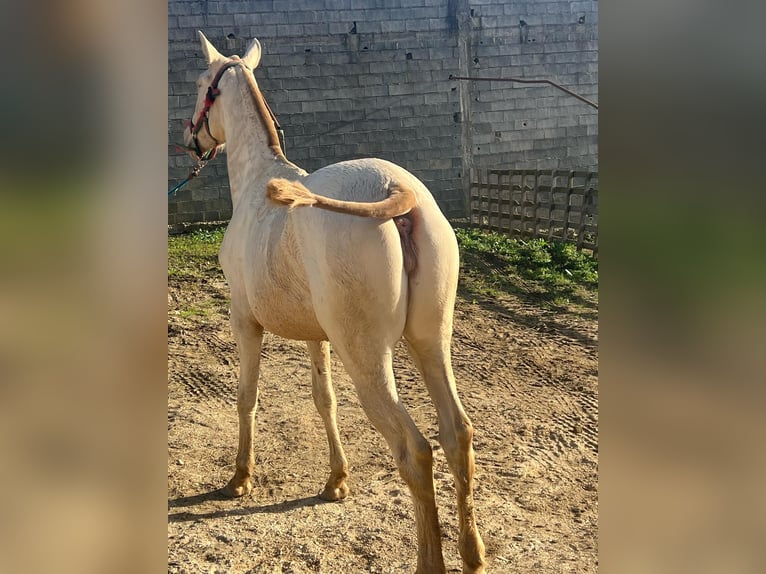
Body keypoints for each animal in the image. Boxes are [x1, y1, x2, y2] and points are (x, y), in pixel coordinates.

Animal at [182, 32, 486, 574]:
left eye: (201, 85)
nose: (187, 139)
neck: (258, 184)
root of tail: (396, 189)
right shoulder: (316, 337)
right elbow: (325, 401)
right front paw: (336, 482)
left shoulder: (244, 322)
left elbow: (246, 397)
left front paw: (240, 479)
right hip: (430, 343)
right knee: (458, 435)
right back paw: (473, 555)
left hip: (367, 359)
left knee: (416, 451)